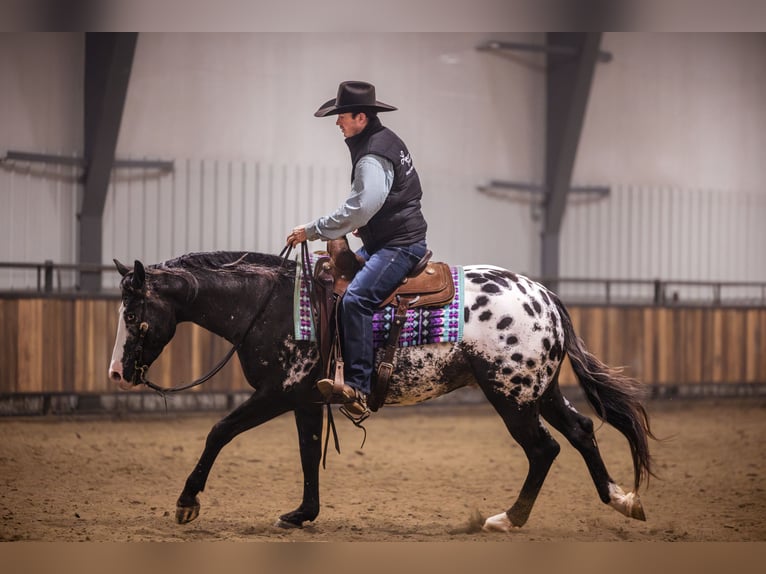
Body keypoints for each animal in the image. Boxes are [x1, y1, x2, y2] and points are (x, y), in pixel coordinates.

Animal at [108, 249, 655, 532]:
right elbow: (308, 454)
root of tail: (546, 296)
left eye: (133, 316)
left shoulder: (278, 392)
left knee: (544, 449)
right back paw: (622, 499)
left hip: (512, 396)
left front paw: (187, 502)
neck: (271, 304)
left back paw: (509, 518)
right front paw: (302, 514)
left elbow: (219, 432)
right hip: (538, 391)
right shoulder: (306, 400)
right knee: (581, 431)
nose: (117, 372)